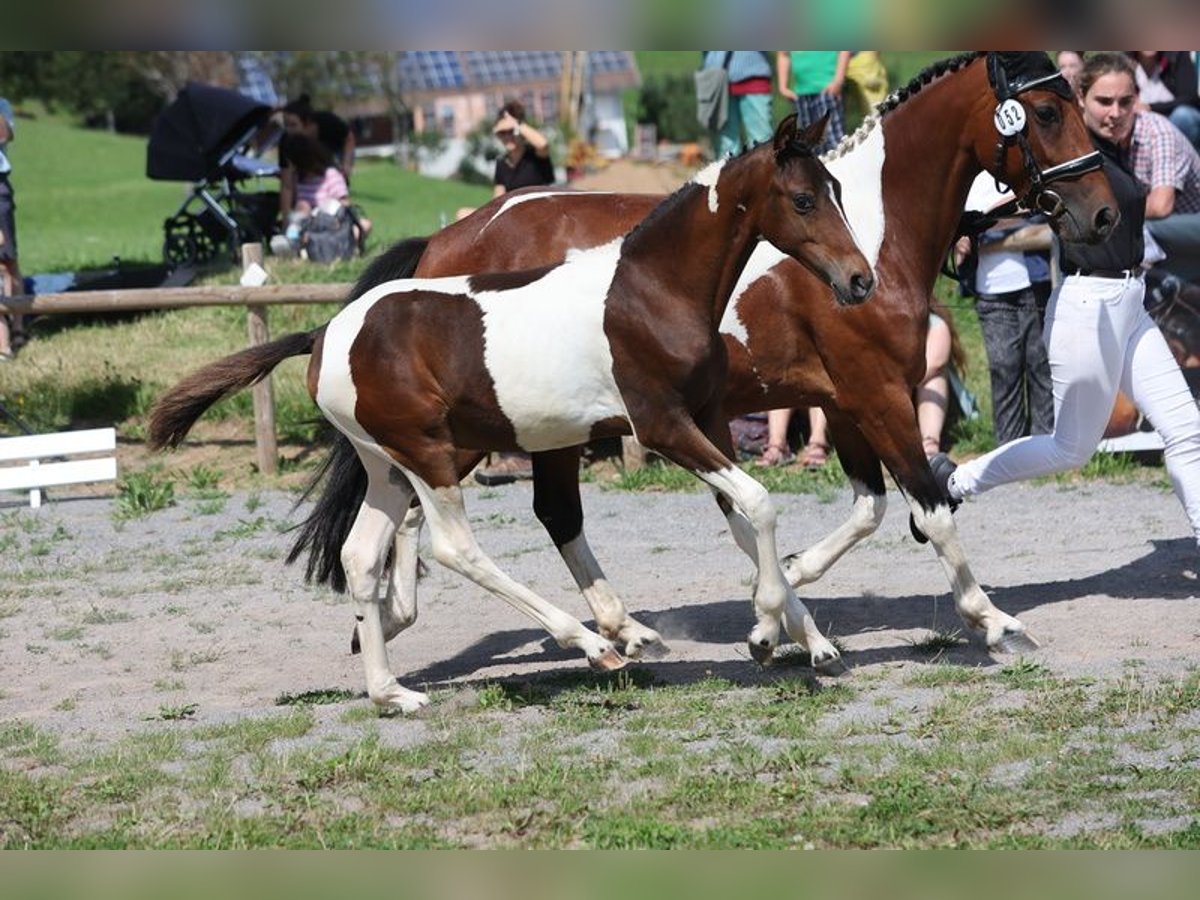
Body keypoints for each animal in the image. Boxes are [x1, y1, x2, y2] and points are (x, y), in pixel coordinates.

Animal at [154, 116, 878, 715]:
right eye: (805, 199)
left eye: (838, 191)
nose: (860, 280)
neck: (650, 292)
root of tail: (326, 332)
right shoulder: (663, 426)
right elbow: (759, 502)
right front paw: (764, 633)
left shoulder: (708, 420)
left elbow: (743, 516)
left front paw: (807, 640)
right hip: (426, 453)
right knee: (454, 546)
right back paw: (592, 643)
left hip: (385, 464)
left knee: (361, 554)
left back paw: (393, 692)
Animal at [295, 51, 1118, 672]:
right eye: (1047, 113)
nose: (1105, 212)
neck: (875, 233)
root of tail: (444, 242)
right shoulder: (875, 390)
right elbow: (930, 509)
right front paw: (993, 620)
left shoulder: (842, 401)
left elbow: (867, 509)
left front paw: (784, 600)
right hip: (489, 429)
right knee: (466, 513)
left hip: (533, 430)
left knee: (497, 512)